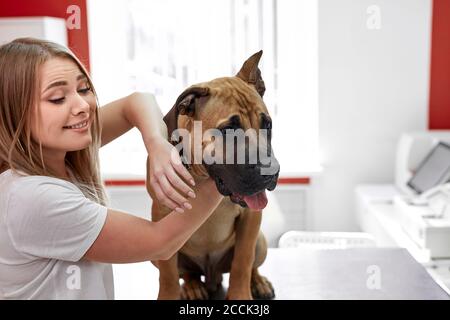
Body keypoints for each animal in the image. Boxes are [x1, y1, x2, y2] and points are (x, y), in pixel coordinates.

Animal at [145, 51, 278, 298]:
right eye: (229, 130)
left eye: (268, 125)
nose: (272, 171)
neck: (203, 176)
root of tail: (212, 275)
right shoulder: (161, 214)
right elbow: (168, 274)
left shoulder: (250, 218)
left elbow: (242, 262)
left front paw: (241, 294)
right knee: (186, 273)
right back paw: (193, 286)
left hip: (260, 241)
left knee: (251, 264)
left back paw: (258, 282)